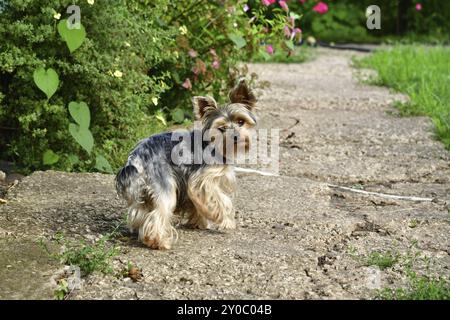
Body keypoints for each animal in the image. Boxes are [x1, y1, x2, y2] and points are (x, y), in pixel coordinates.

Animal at [114, 79, 258, 249]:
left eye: (241, 122)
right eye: (221, 128)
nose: (235, 137)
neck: (215, 145)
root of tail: (136, 159)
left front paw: (197, 222)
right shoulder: (202, 180)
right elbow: (220, 200)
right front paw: (226, 221)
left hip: (143, 190)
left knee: (141, 212)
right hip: (164, 185)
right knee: (159, 212)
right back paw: (158, 241)